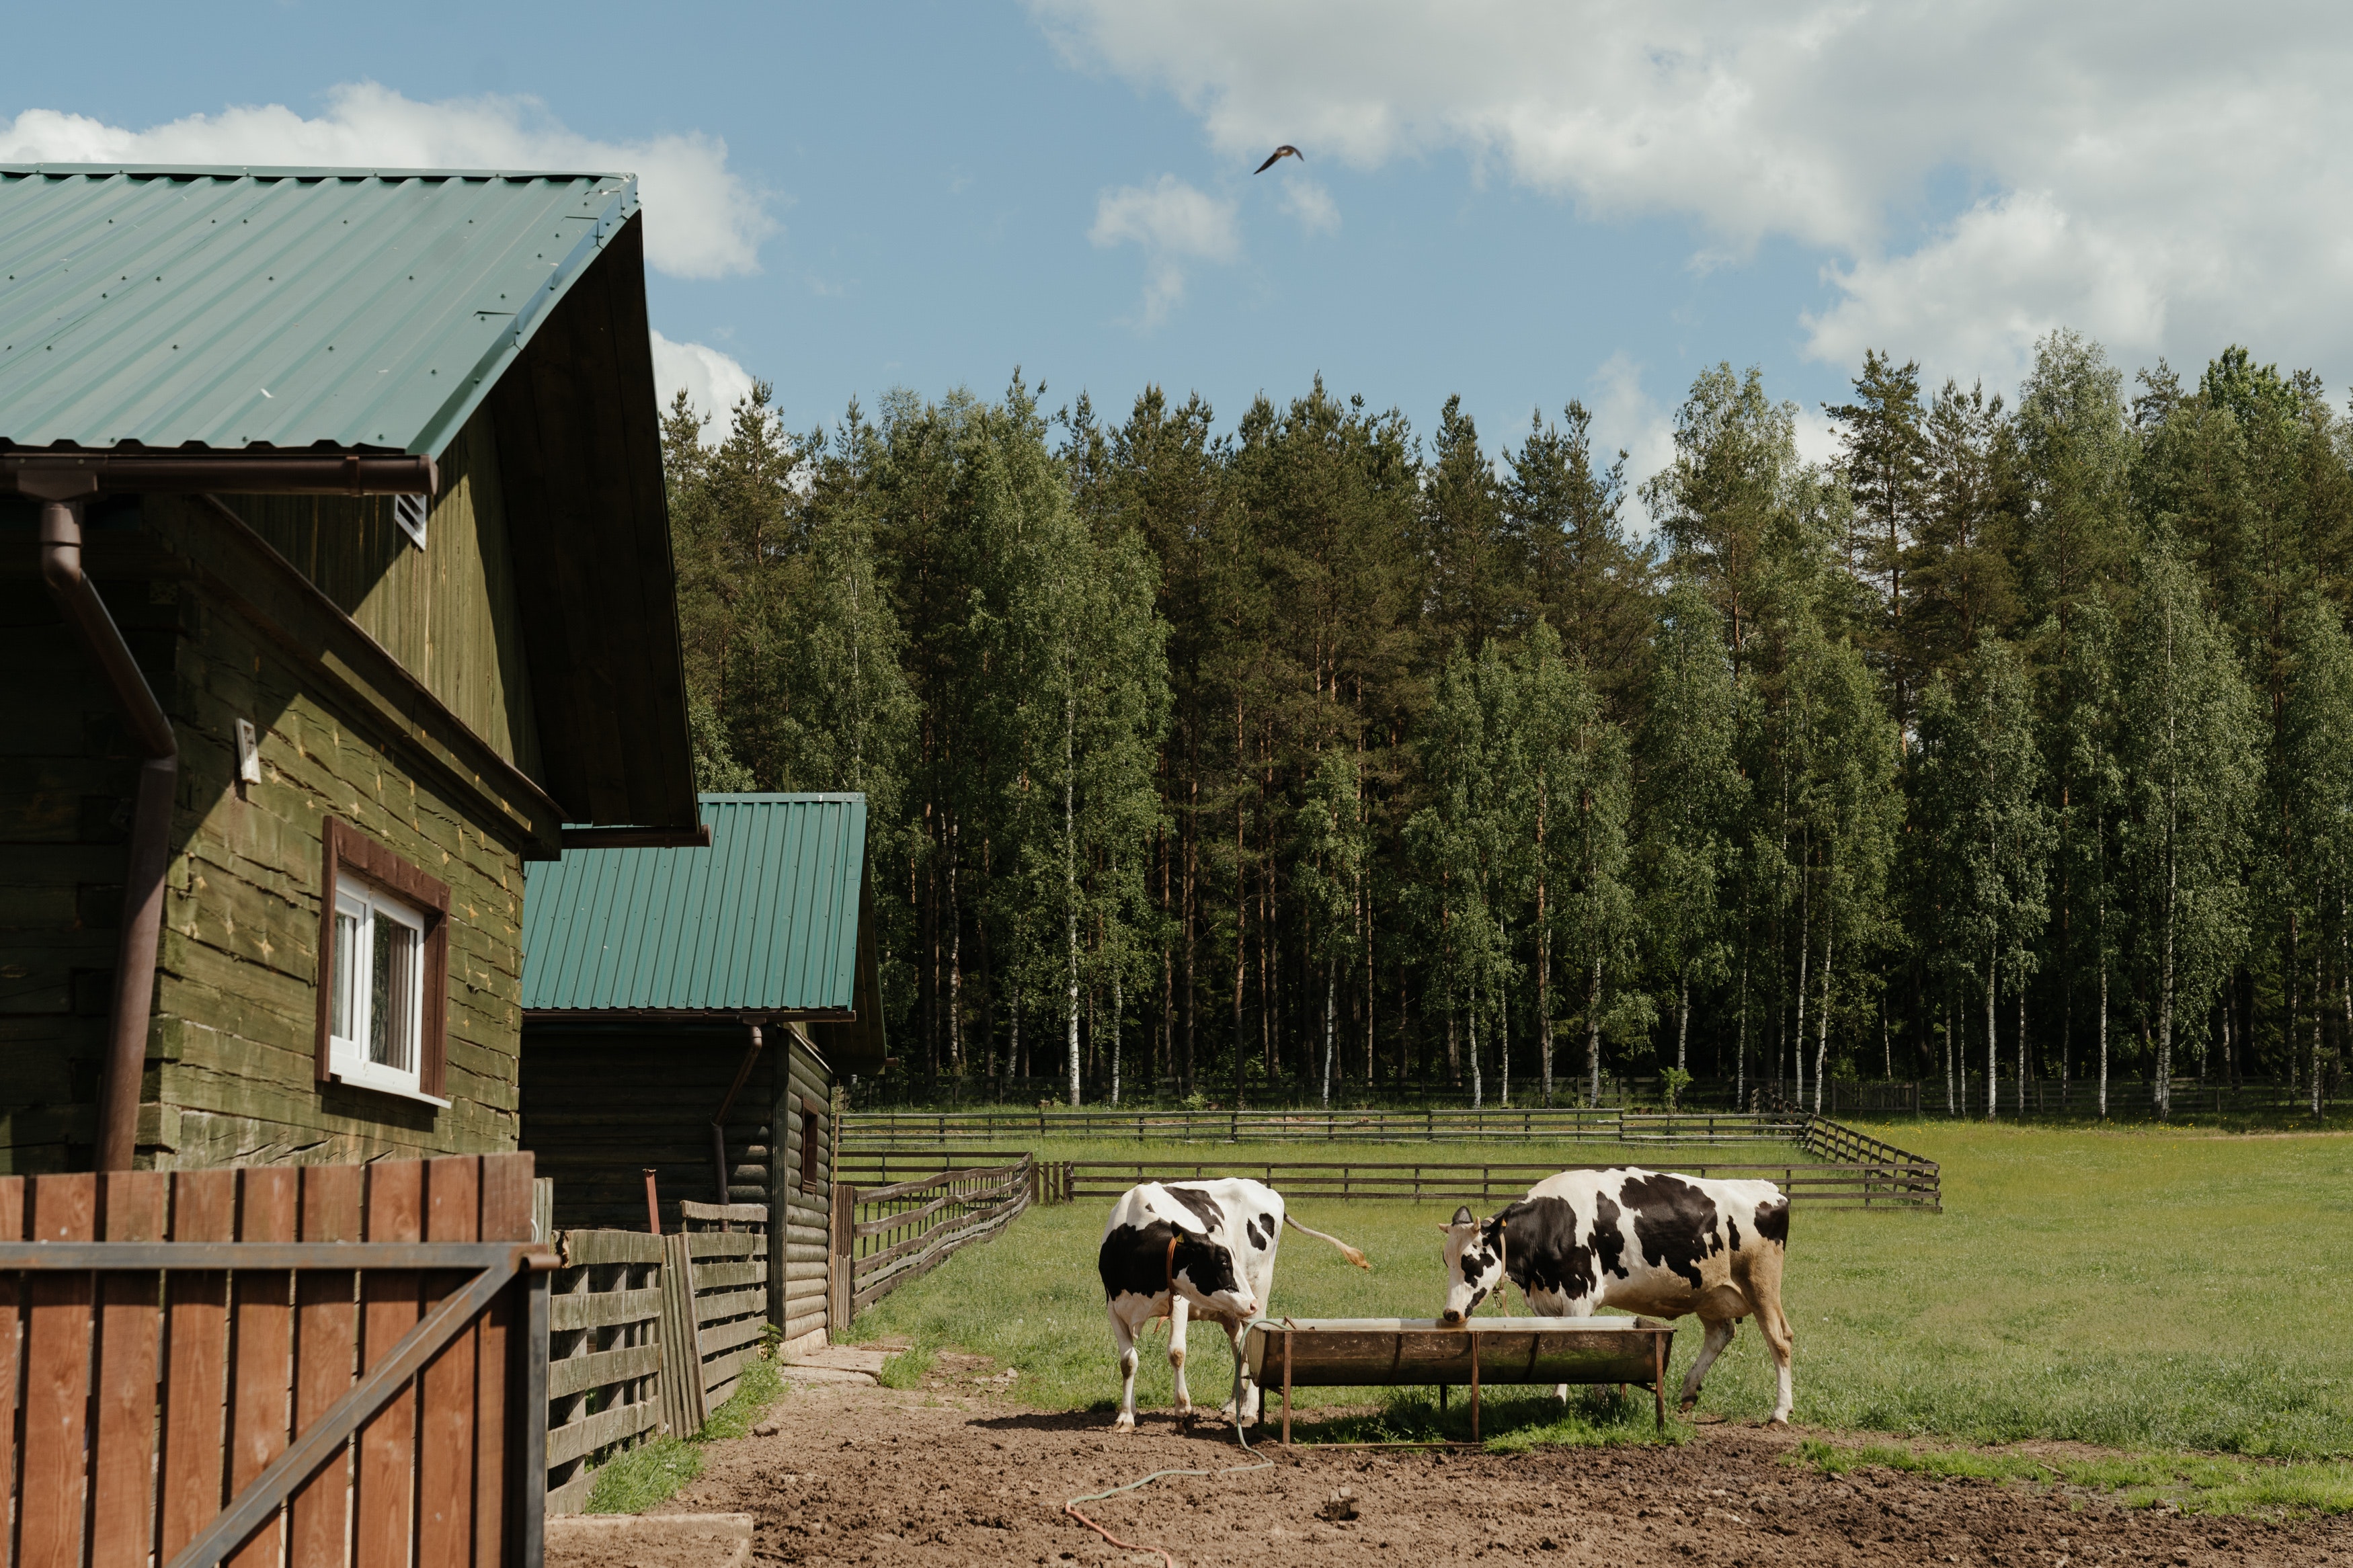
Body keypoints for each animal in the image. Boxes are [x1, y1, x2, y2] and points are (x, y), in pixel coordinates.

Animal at [1096, 1175, 1374, 1438]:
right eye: (1222, 1261)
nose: (1250, 1302)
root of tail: (1267, 1191)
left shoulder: (1180, 1303)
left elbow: (1176, 1353)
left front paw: (1183, 1413)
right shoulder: (1114, 1308)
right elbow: (1128, 1362)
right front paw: (1126, 1416)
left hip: (1260, 1289)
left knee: (1254, 1341)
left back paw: (1249, 1409)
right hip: (1234, 1311)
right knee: (1239, 1346)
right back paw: (1233, 1405)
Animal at [1431, 1170, 1798, 1429]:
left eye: (1469, 1261)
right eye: (1447, 1261)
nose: (1450, 1313)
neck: (1553, 1223)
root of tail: (1769, 1190)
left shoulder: (1579, 1298)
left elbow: (1572, 1346)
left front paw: (1561, 1400)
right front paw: (1600, 1399)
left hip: (1761, 1285)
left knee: (1780, 1342)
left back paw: (1780, 1412)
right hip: (1707, 1292)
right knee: (1721, 1333)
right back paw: (1689, 1390)